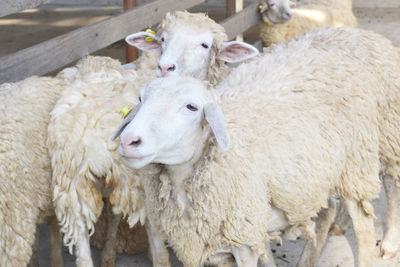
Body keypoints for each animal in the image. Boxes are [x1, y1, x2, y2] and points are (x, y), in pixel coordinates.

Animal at [48, 11, 260, 267]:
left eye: (205, 44)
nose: (165, 66)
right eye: (163, 39)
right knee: (152, 241)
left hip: (71, 182)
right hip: (138, 184)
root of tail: (93, 132)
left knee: (85, 238)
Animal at [111, 25, 400, 267]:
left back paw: (384, 244)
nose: (128, 140)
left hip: (363, 157)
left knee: (373, 214)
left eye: (192, 107)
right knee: (325, 213)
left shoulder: (243, 237)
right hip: (315, 175)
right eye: (141, 98)